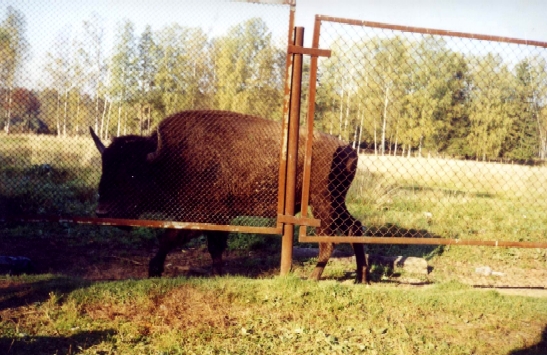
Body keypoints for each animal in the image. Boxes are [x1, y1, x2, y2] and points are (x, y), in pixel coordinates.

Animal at [92, 110, 370, 284]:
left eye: (132, 174)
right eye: (105, 168)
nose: (103, 211)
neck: (166, 159)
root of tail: (349, 150)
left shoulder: (204, 216)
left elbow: (173, 237)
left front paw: (154, 270)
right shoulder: (214, 219)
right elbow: (211, 246)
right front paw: (216, 273)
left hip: (323, 203)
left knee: (329, 239)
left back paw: (314, 278)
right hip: (335, 203)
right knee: (354, 227)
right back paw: (361, 277)